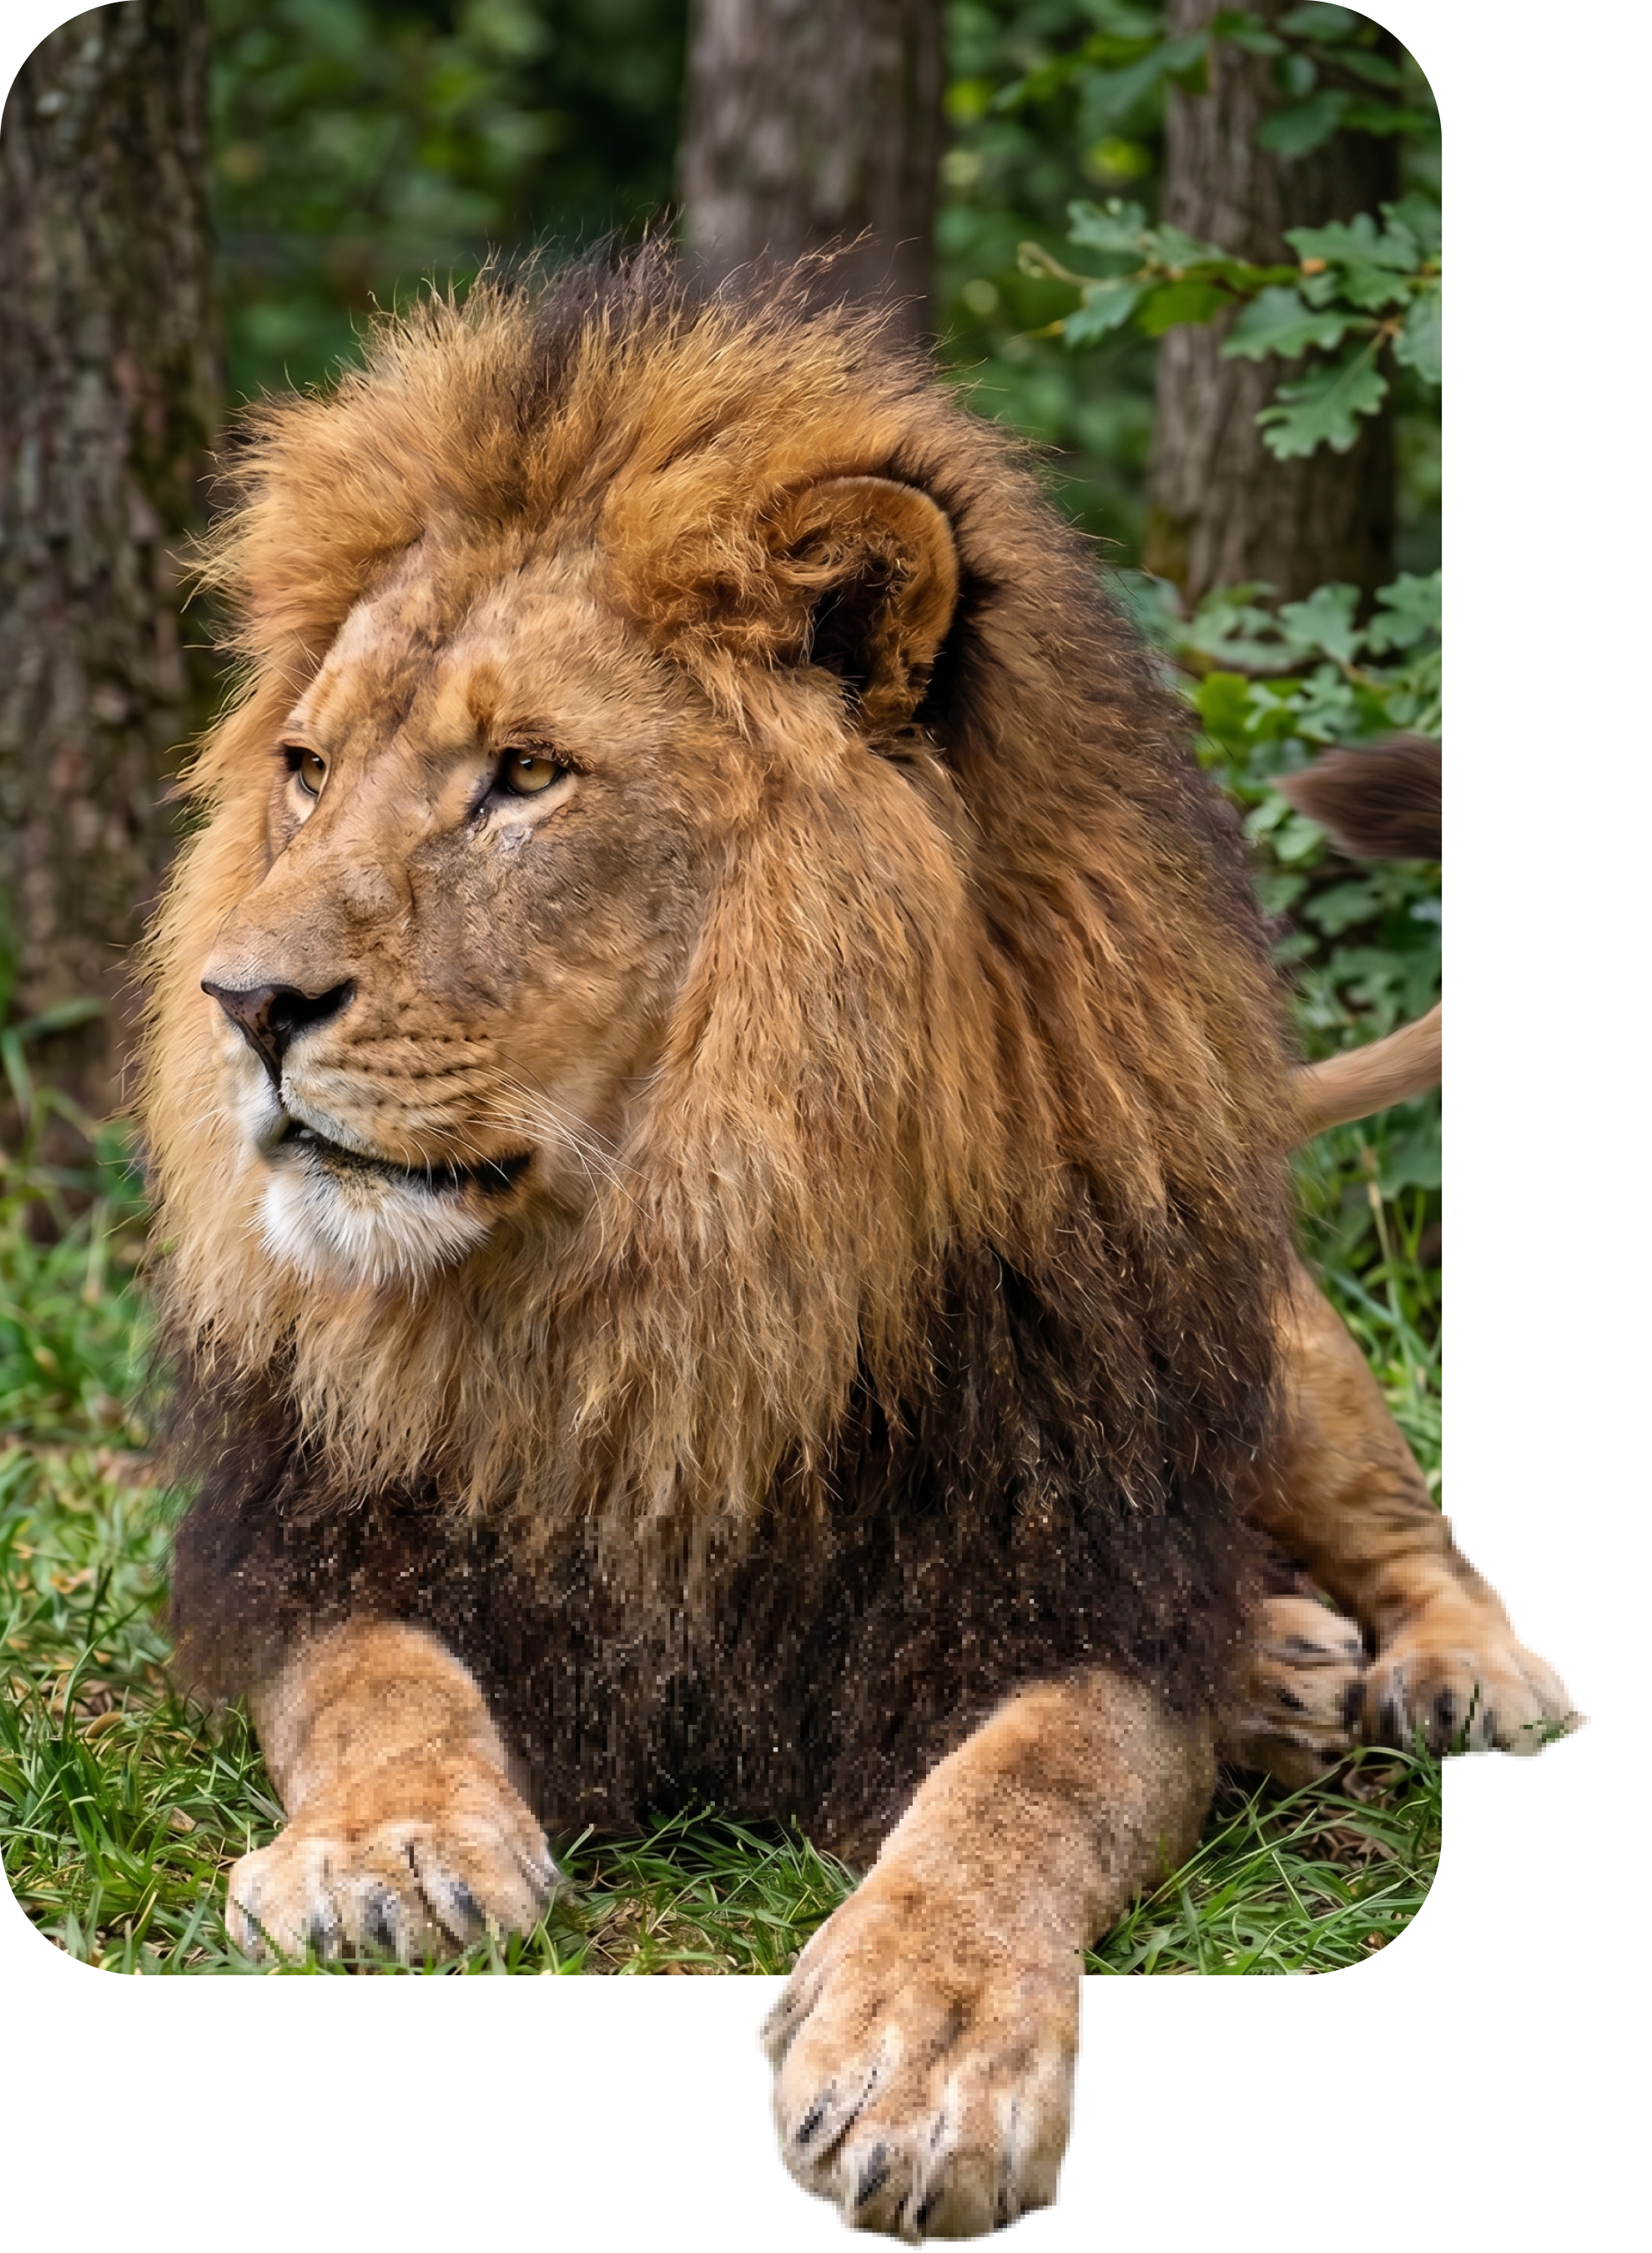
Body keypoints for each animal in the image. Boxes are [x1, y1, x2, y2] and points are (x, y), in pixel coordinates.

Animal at [139, 249, 1576, 2238]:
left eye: (526, 775)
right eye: (303, 768)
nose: (243, 1005)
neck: (660, 1282)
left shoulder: (1073, 1579)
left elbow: (1026, 1787)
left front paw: (928, 2048)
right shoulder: (322, 1547)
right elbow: (376, 1685)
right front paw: (395, 1846)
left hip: (1265, 1348)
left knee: (1410, 1534)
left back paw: (1452, 1677)